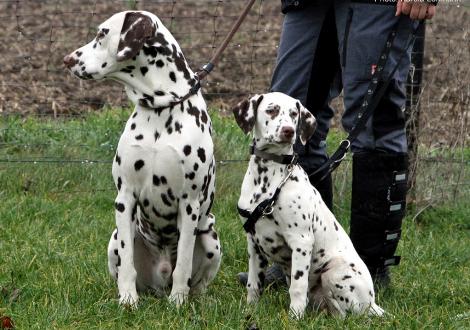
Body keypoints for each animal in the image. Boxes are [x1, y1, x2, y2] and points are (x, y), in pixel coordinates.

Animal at [63, 11, 222, 308]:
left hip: (210, 238)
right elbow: (127, 264)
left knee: (198, 281)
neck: (161, 108)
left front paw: (178, 302)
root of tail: (160, 281)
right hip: (113, 239)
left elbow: (183, 262)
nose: (67, 59)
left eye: (102, 33)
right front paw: (127, 300)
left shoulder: (189, 204)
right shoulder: (125, 198)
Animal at [232, 91, 386, 318]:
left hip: (334, 273)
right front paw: (250, 310)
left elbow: (297, 287)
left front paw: (294, 317)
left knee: (345, 314)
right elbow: (254, 284)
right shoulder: (254, 243)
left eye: (294, 114)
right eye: (271, 109)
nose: (288, 131)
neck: (269, 180)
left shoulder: (301, 241)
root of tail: (373, 303)